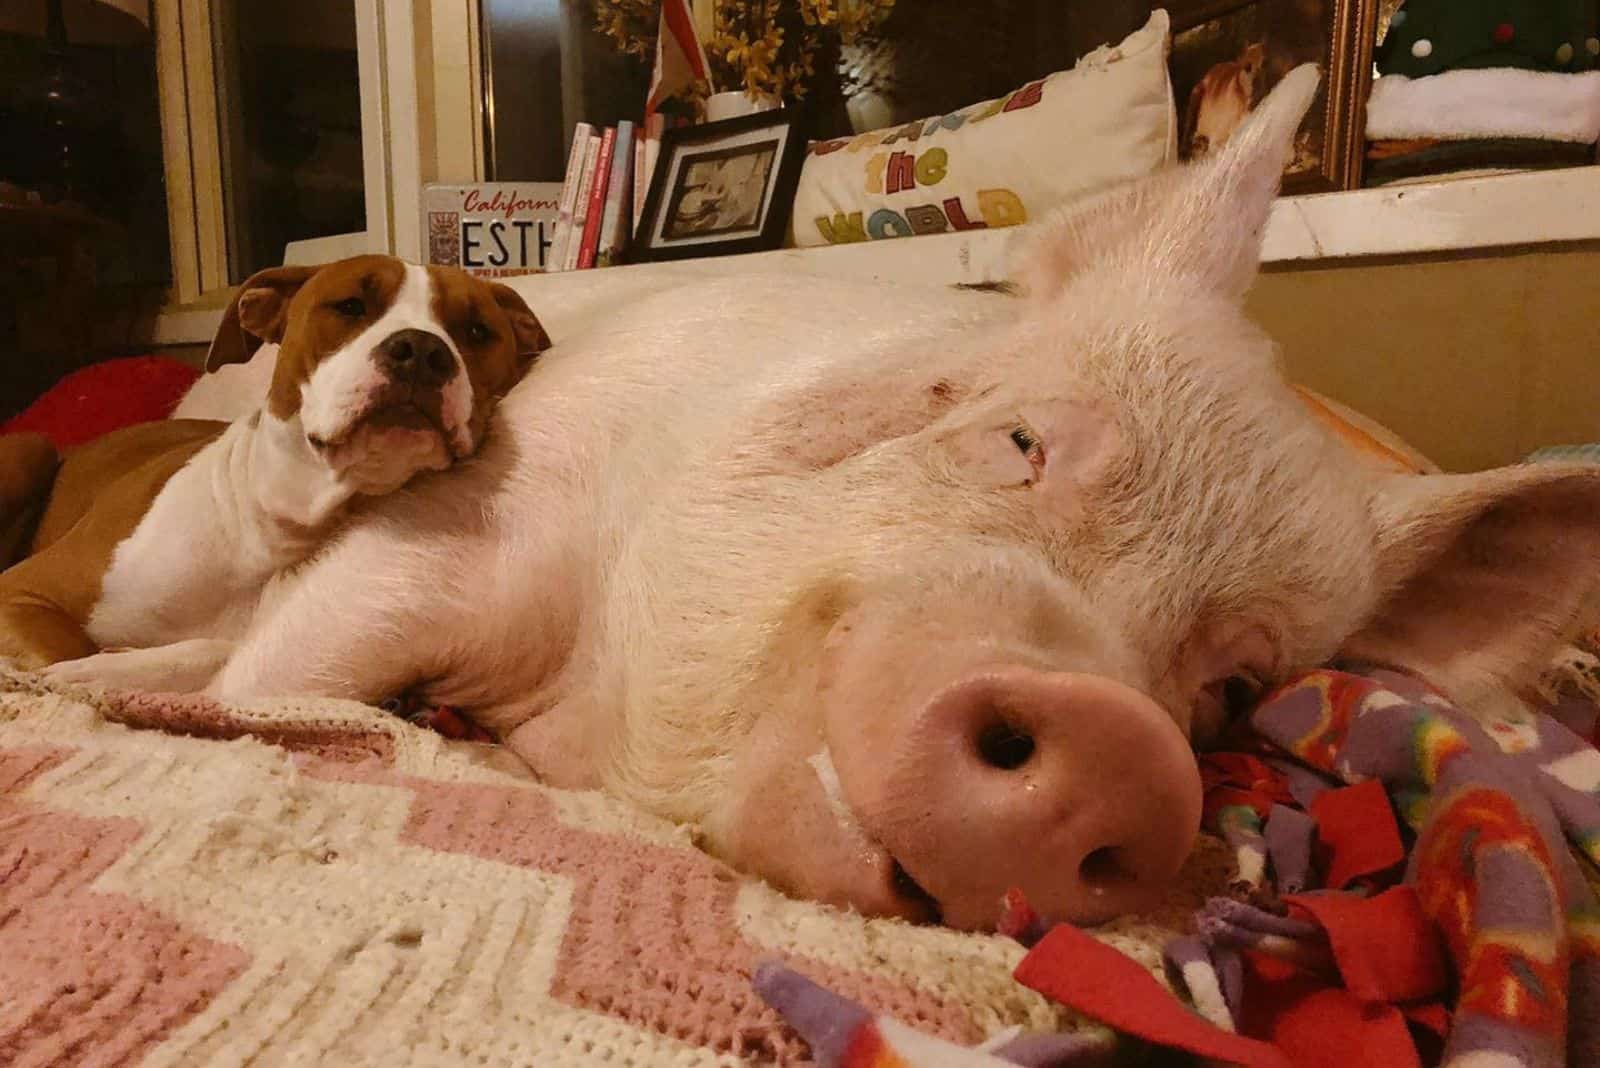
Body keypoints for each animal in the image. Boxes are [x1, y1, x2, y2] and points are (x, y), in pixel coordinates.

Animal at [0, 255, 550, 693]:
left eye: (476, 331)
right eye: (350, 306)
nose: (421, 350)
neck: (277, 529)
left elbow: (216, 651)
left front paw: (115, 668)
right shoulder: (22, 591)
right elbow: (69, 647)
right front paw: (88, 669)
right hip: (29, 449)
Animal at [190, 70, 1600, 927]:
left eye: (1236, 683)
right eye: (1019, 437)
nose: (1114, 740)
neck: (590, 728)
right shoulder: (482, 518)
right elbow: (283, 676)